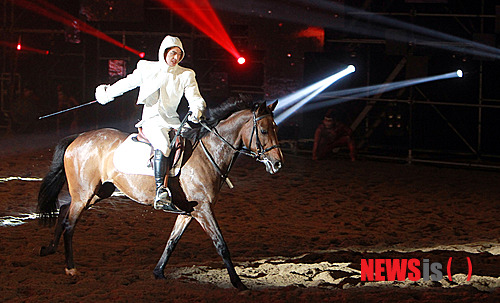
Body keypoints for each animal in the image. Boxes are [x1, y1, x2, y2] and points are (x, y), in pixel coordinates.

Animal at [37, 98, 284, 290]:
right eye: (263, 130)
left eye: (276, 128)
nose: (278, 163)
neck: (208, 153)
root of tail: (79, 137)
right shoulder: (203, 209)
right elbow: (220, 243)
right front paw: (238, 283)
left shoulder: (189, 211)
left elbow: (172, 241)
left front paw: (158, 272)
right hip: (85, 193)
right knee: (70, 223)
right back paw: (70, 268)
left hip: (98, 192)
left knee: (63, 210)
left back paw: (49, 249)